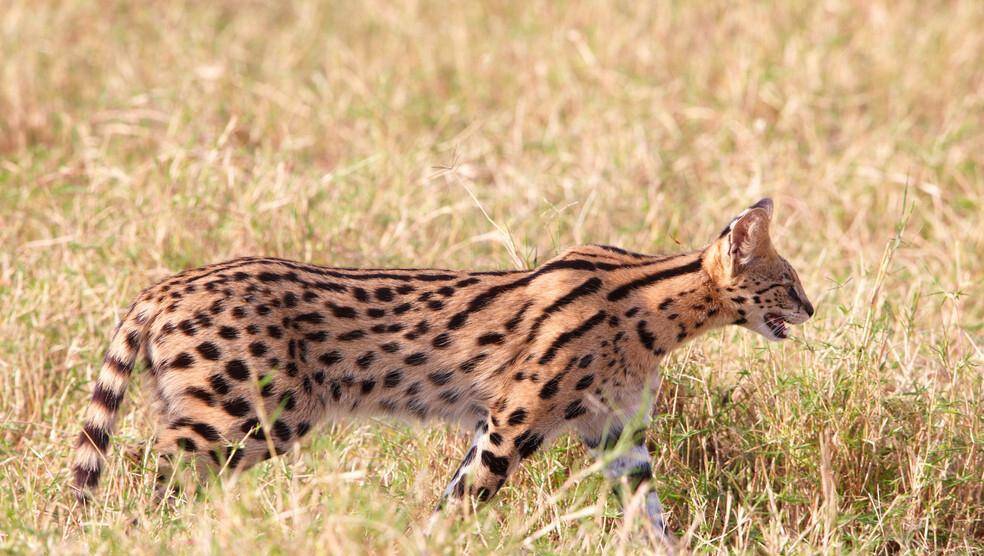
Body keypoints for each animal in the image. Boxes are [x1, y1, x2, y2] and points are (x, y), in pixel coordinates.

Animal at [71, 199, 816, 544]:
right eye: (785, 281)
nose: (812, 308)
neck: (651, 313)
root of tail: (164, 286)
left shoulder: (617, 438)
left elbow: (652, 521)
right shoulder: (512, 422)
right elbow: (461, 503)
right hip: (241, 417)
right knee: (140, 476)